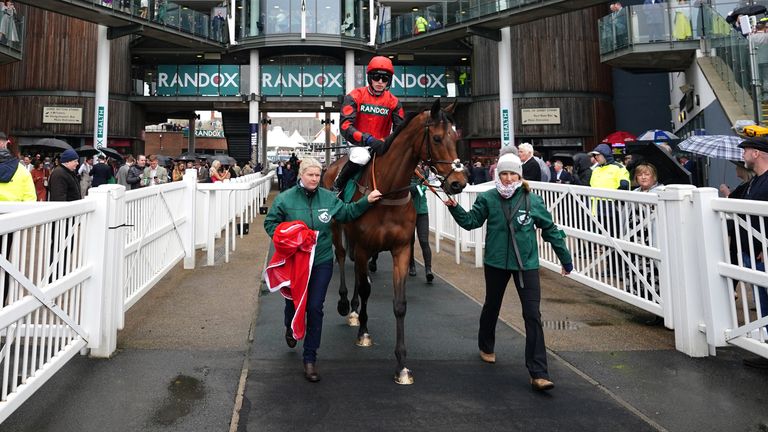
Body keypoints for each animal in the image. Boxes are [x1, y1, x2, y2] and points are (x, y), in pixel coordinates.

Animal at [320, 98, 464, 384]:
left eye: (456, 137)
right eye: (437, 137)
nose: (458, 182)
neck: (388, 191)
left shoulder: (400, 250)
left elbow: (399, 304)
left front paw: (402, 365)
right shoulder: (365, 246)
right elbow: (366, 288)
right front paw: (364, 334)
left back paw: (355, 310)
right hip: (337, 227)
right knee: (341, 257)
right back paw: (345, 303)